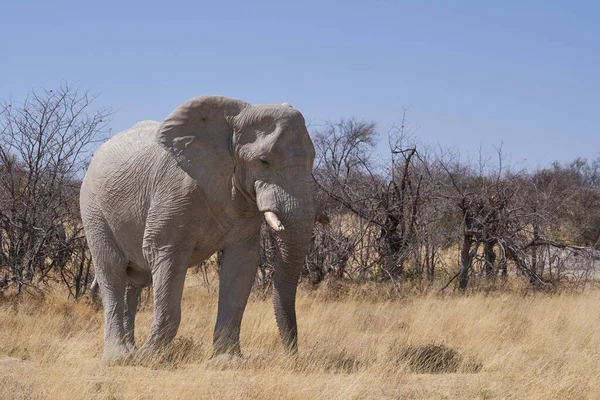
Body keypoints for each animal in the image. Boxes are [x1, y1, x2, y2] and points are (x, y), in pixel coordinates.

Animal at [80, 95, 326, 364]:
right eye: (264, 161)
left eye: (313, 159)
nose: (292, 355)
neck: (231, 124)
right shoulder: (173, 193)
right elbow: (166, 256)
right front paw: (149, 358)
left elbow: (241, 263)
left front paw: (227, 362)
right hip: (93, 209)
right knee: (111, 271)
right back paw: (120, 358)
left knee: (132, 284)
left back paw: (129, 351)